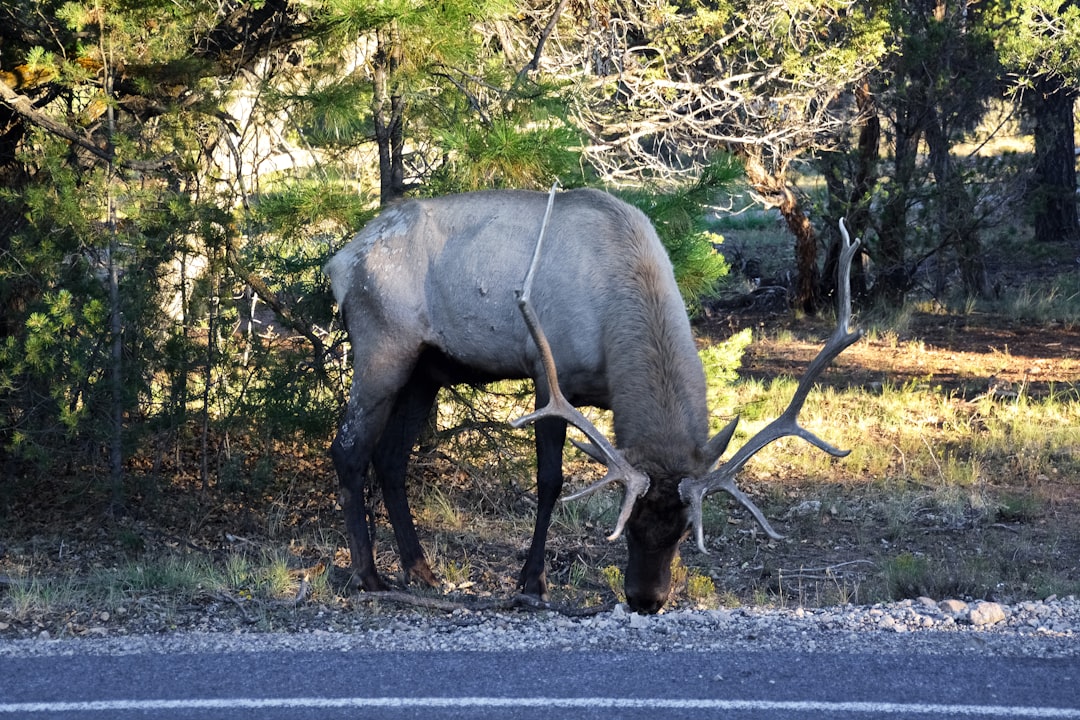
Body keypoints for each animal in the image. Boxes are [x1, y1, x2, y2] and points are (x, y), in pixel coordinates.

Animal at [321, 187, 859, 613]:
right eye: (629, 525)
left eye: (685, 531)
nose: (646, 600)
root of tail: (339, 262)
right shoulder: (548, 374)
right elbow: (549, 482)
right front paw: (532, 583)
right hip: (382, 343)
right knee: (348, 451)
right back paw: (369, 576)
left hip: (427, 368)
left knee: (392, 458)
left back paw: (421, 570)